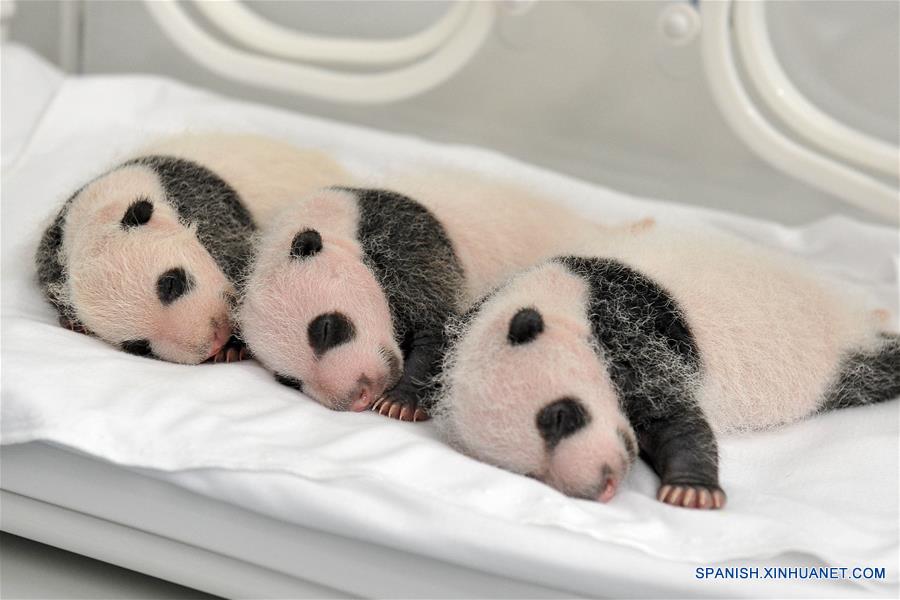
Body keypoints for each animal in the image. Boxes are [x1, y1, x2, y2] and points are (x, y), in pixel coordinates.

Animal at [35, 133, 350, 364]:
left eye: (170, 283)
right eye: (139, 347)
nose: (213, 341)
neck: (100, 207)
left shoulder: (210, 207)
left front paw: (235, 346)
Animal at [238, 173, 652, 420]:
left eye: (326, 329)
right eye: (289, 381)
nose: (358, 395)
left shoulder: (410, 247)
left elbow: (439, 327)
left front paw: (398, 402)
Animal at [432, 227, 900, 509]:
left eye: (563, 416)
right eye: (530, 474)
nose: (602, 485)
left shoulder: (625, 329)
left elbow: (671, 413)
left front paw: (691, 490)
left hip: (840, 358)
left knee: (878, 370)